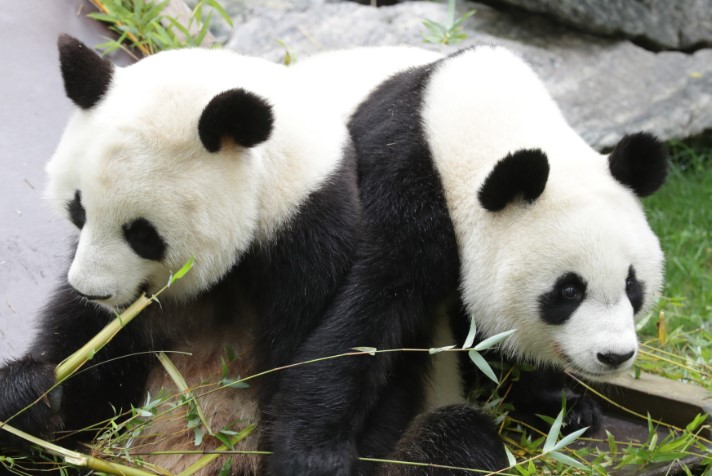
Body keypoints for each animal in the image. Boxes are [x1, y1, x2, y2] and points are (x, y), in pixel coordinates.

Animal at [0, 35, 358, 474]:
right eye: (78, 210)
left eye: (142, 235)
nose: (91, 292)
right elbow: (85, 361)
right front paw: (29, 395)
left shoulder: (308, 240)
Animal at [268, 45, 668, 476]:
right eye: (568, 291)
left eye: (632, 285)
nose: (614, 355)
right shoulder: (402, 178)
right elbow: (367, 311)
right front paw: (314, 456)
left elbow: (496, 345)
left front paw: (563, 408)